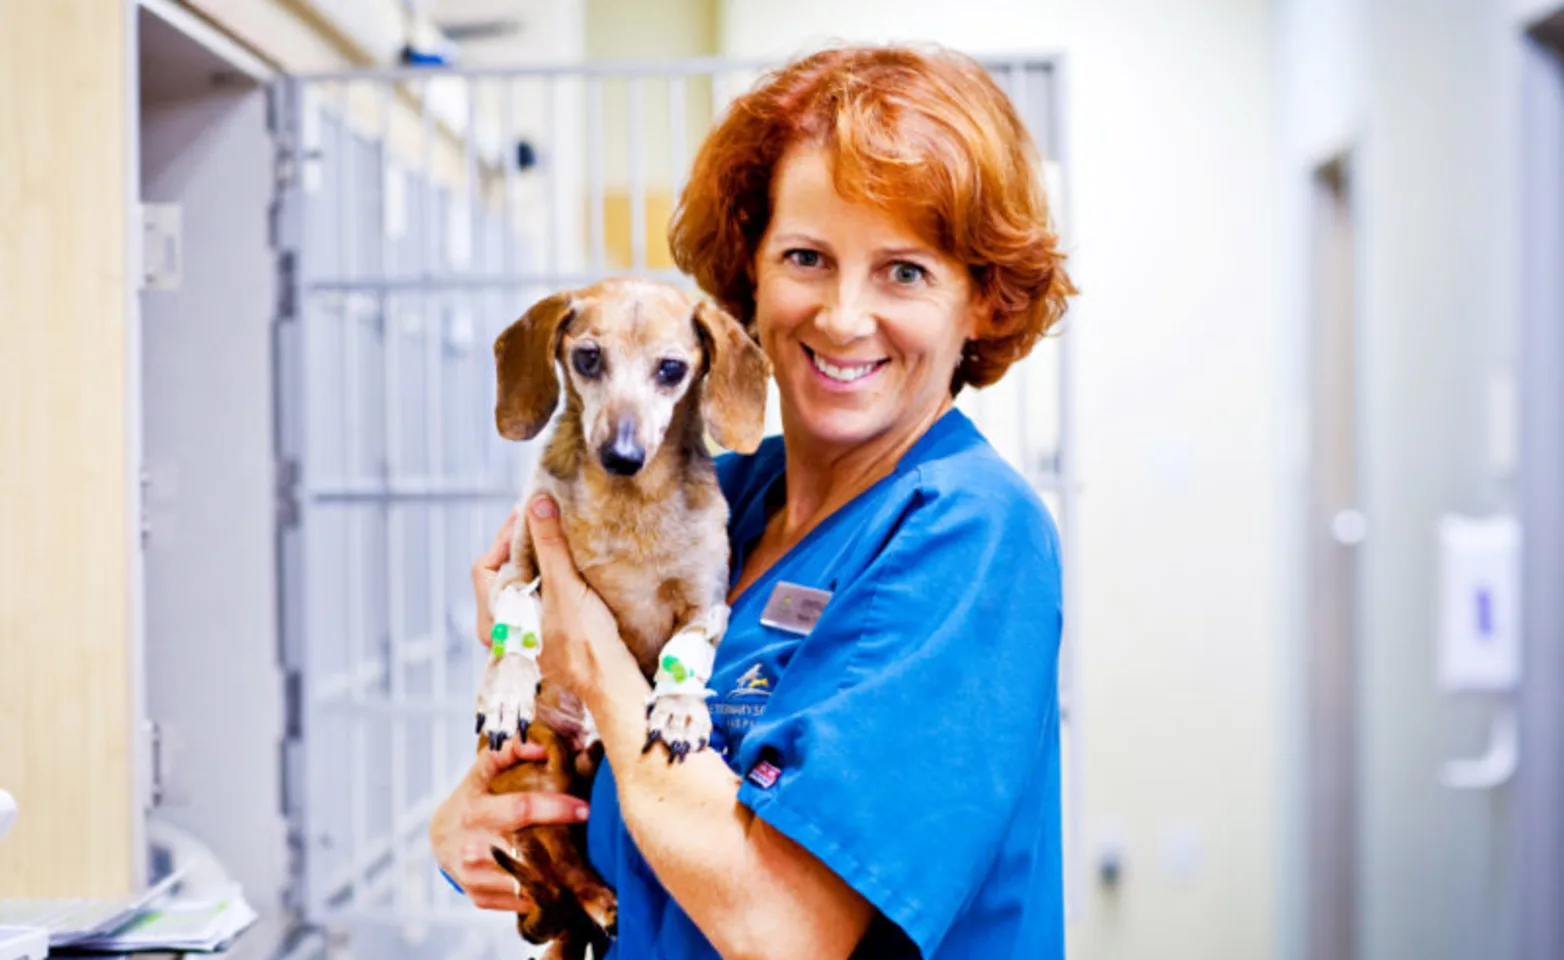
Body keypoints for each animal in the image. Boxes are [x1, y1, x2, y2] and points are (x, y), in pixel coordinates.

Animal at [475, 279, 769, 960]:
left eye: (671, 370)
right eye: (587, 358)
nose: (622, 455)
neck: (628, 504)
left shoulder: (707, 600)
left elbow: (687, 649)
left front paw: (681, 708)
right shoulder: (520, 559)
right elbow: (516, 620)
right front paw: (505, 690)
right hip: (542, 768)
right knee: (562, 856)